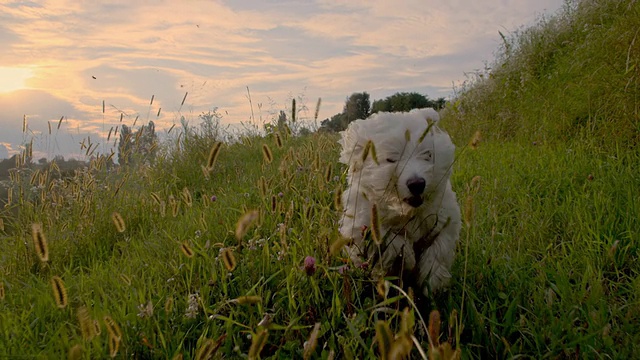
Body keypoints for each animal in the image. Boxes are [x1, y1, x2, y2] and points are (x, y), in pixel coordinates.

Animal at [340, 107, 460, 296]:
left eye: (428, 155)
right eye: (391, 159)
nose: (417, 184)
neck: (406, 212)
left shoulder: (446, 220)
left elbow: (439, 248)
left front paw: (432, 281)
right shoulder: (362, 225)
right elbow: (391, 241)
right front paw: (408, 256)